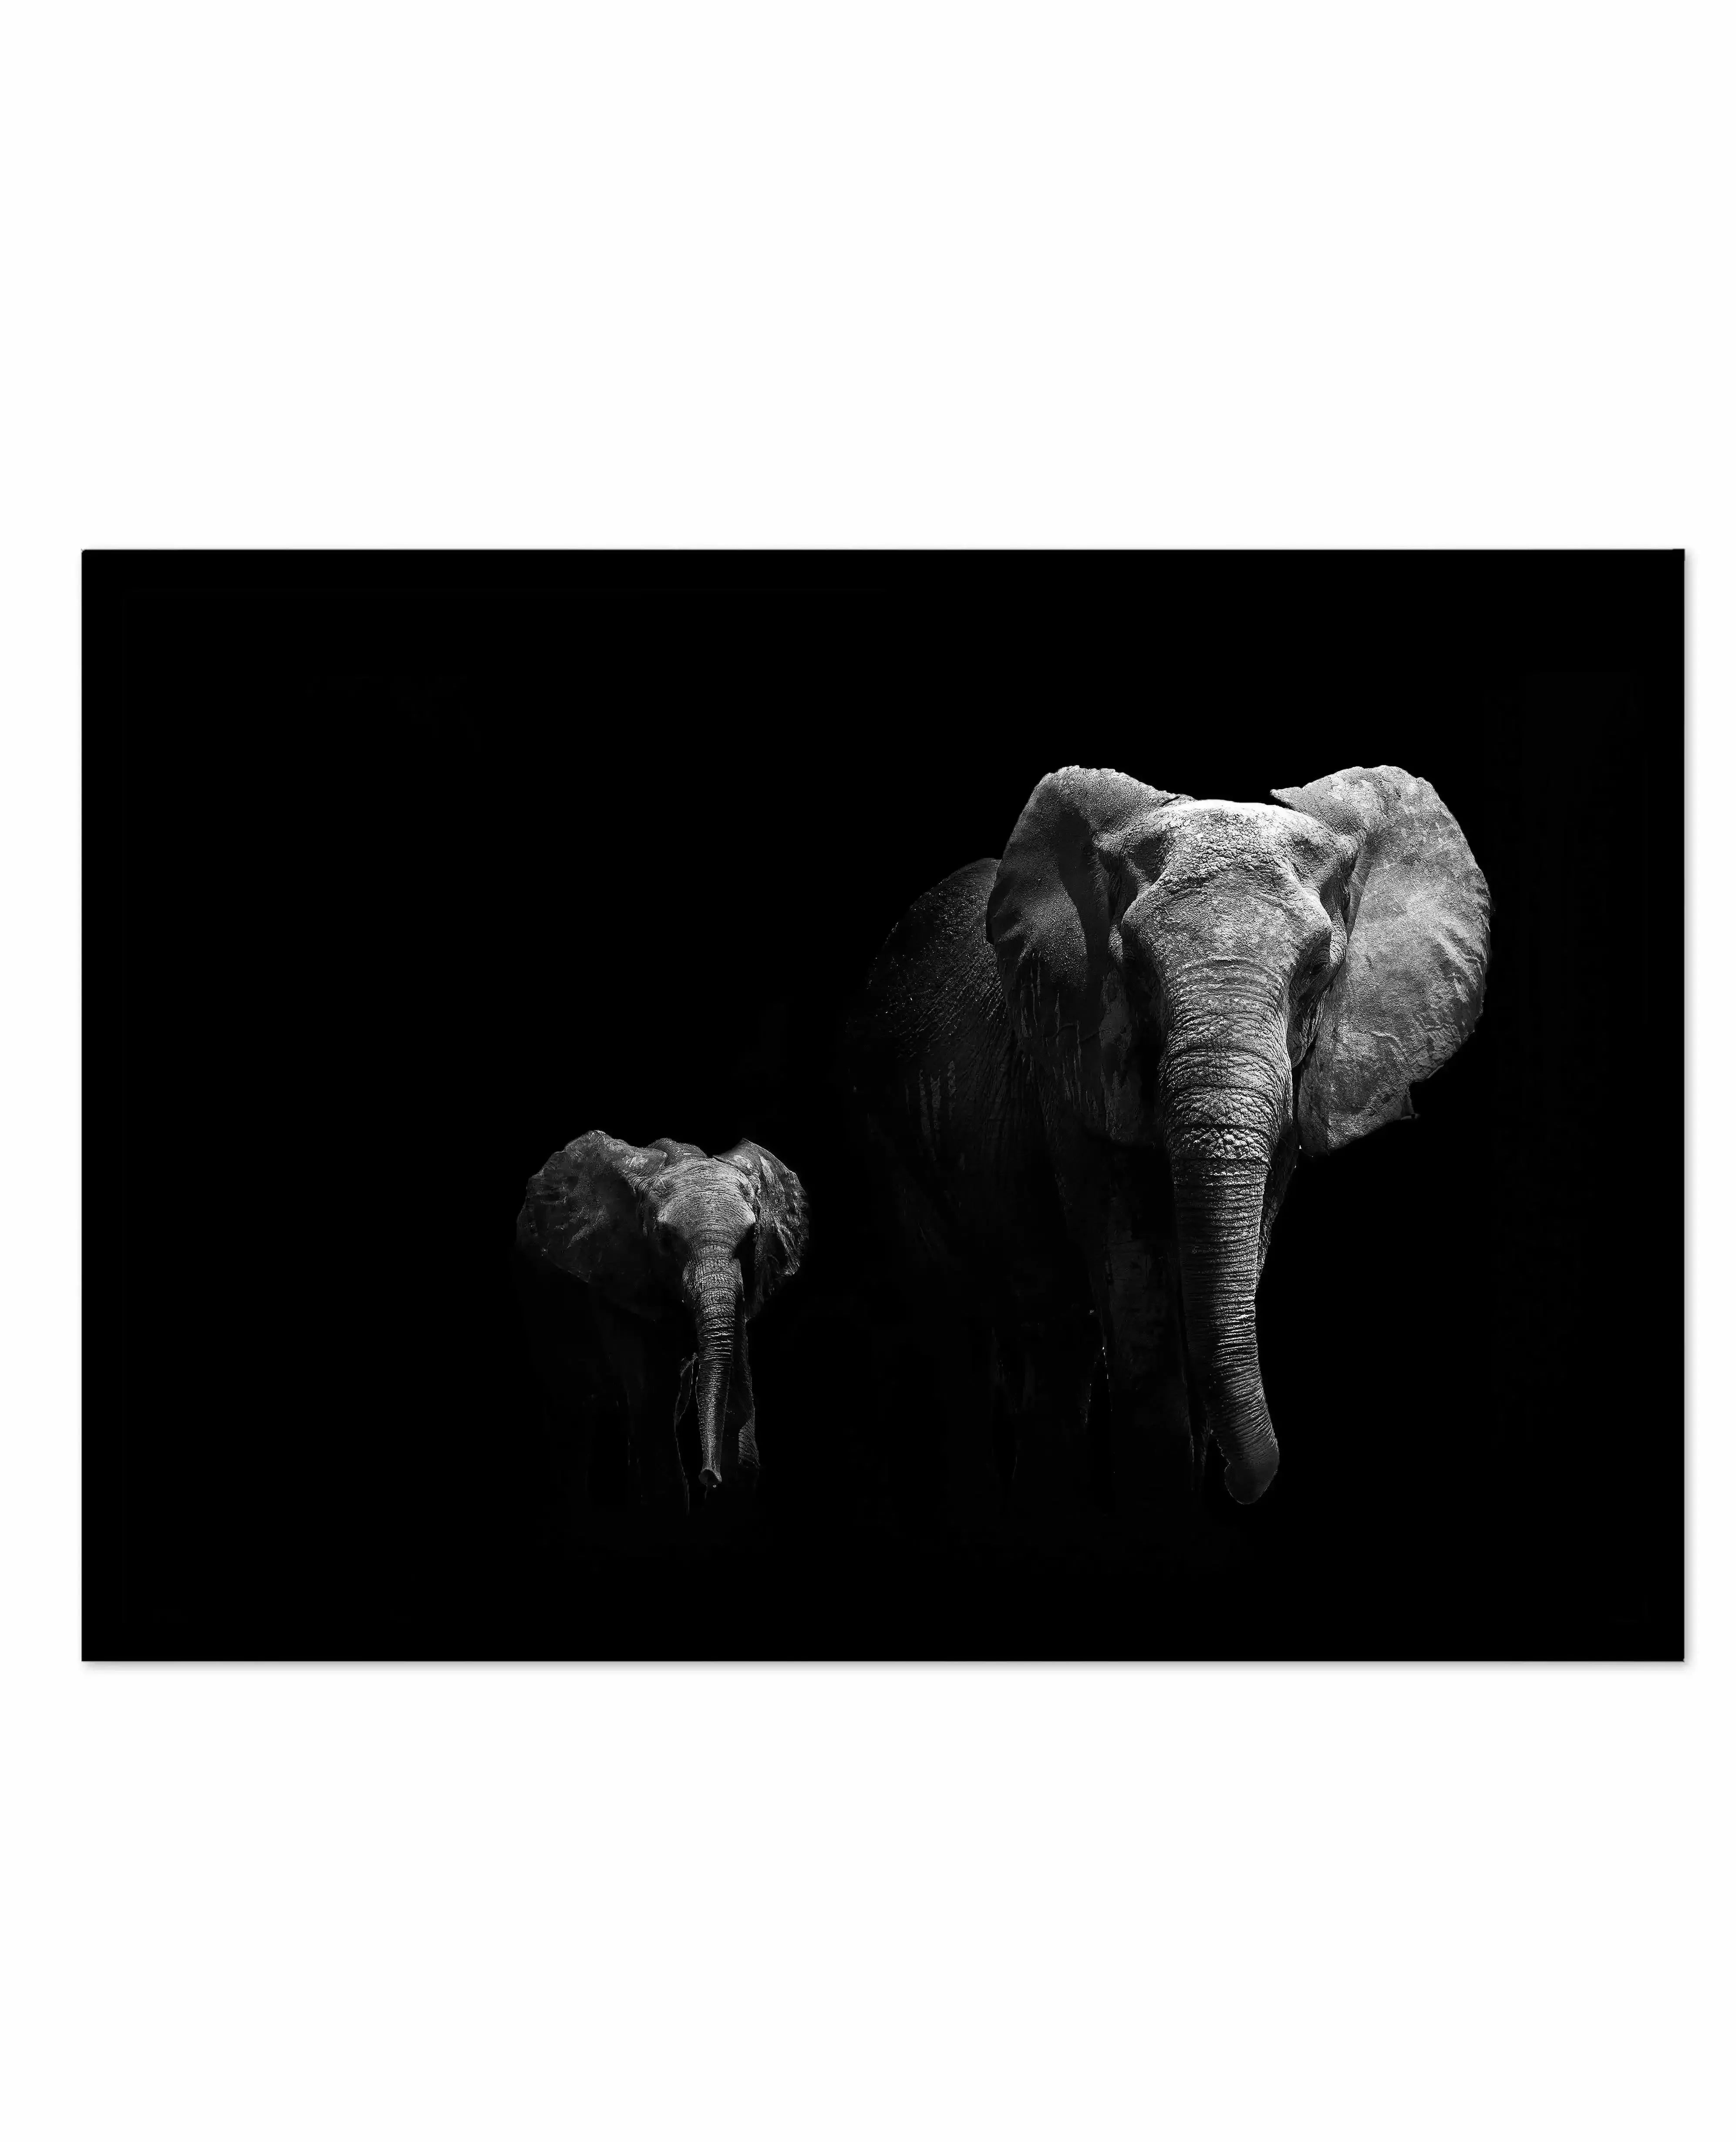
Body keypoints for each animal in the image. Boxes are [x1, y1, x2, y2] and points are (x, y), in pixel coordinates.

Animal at [513, 1132, 809, 1519]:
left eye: (753, 1236)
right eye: (665, 1239)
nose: (708, 1476)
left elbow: (738, 1431)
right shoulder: (619, 1273)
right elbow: (654, 1415)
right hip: (540, 1303)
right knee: (574, 1413)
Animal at [842, 763, 1489, 1515]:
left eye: (1313, 972)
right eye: (1135, 969)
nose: (1245, 1483)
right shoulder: (1076, 1066)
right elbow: (1137, 1298)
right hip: (881, 1123)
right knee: (978, 1331)